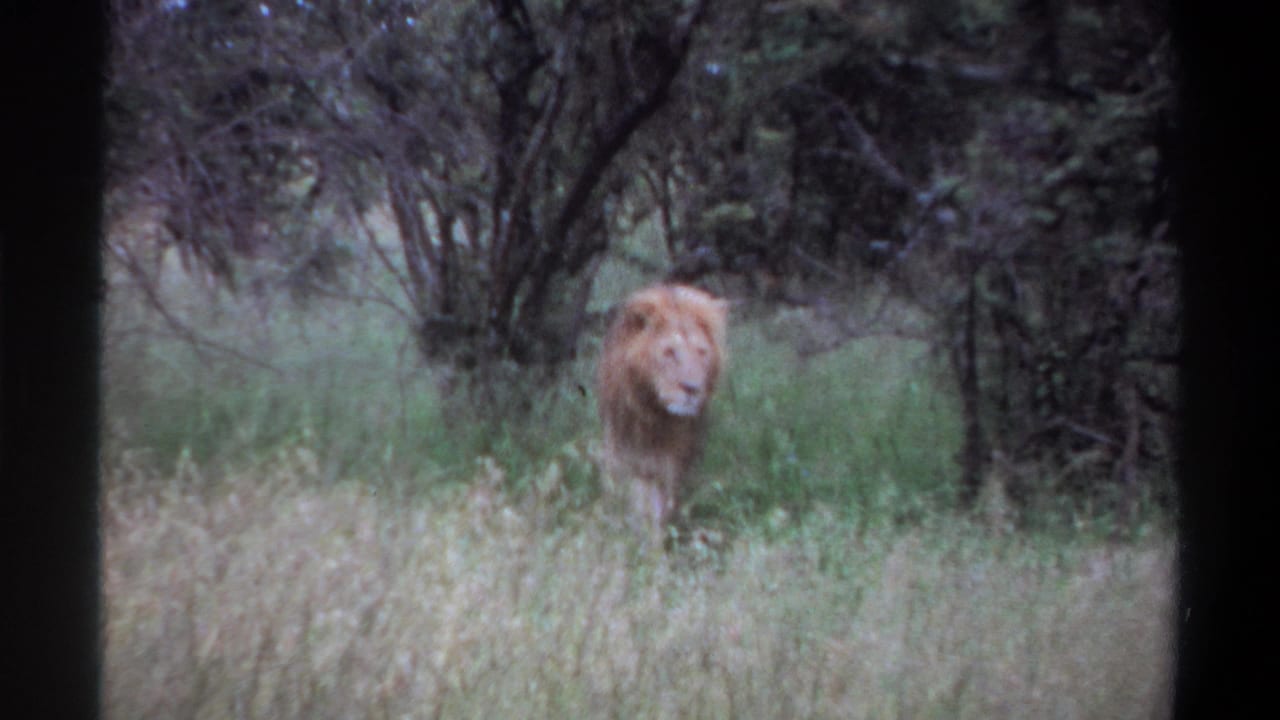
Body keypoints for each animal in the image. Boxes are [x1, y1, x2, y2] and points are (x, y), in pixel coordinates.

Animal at [597, 284, 729, 540]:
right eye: (669, 352)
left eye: (701, 352)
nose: (692, 388)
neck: (657, 414)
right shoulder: (624, 452)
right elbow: (632, 498)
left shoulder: (671, 464)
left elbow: (659, 509)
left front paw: (653, 544)